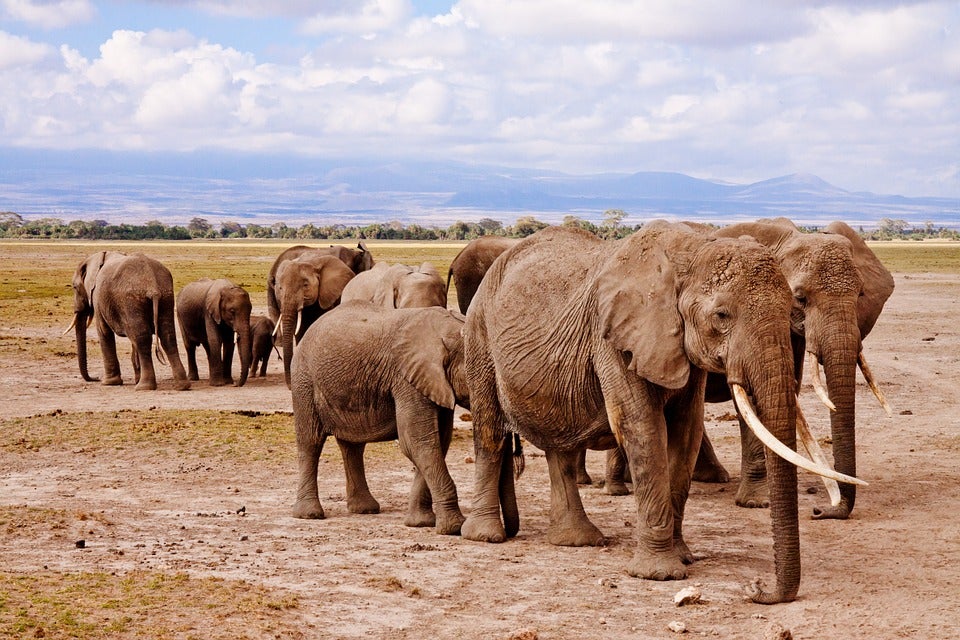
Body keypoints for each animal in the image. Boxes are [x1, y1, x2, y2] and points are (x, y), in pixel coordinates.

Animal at [67, 251, 190, 391]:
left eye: (75, 287)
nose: (95, 378)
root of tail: (152, 283)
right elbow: (133, 339)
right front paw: (135, 379)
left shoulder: (98, 297)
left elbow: (104, 331)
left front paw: (109, 383)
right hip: (166, 296)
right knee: (167, 336)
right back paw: (182, 385)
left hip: (131, 299)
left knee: (143, 339)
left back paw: (144, 387)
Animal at [274, 253, 356, 387]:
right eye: (280, 288)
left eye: (305, 285)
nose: (289, 386)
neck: (311, 263)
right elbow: (300, 330)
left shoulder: (329, 295)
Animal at [290, 301, 471, 535]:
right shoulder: (407, 380)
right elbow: (417, 442)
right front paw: (454, 528)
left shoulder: (434, 383)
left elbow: (437, 442)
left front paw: (420, 523)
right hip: (303, 380)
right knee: (310, 442)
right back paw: (309, 514)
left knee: (352, 447)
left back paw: (364, 509)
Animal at [461, 222, 864, 604]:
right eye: (721, 315)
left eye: (791, 308)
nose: (757, 588)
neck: (689, 252)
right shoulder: (614, 339)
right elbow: (643, 429)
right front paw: (660, 574)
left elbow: (686, 432)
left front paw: (683, 556)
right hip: (479, 336)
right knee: (490, 431)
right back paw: (486, 535)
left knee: (559, 445)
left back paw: (575, 540)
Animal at [690, 218, 894, 519]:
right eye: (799, 298)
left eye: (860, 294)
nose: (820, 511)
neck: (789, 238)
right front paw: (759, 502)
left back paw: (712, 476)